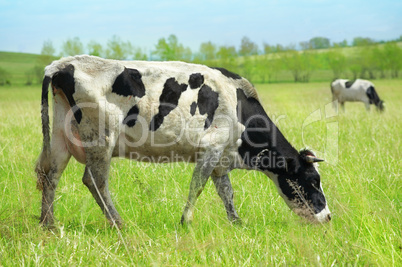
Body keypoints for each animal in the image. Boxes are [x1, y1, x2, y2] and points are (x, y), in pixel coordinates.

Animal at [34, 55, 332, 229]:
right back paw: (118, 223)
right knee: (95, 180)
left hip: (61, 136)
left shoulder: (221, 159)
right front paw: (186, 221)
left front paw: (236, 222)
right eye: (313, 180)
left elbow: (227, 192)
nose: (328, 217)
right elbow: (197, 187)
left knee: (50, 175)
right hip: (101, 137)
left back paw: (49, 224)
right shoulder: (211, 149)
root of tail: (61, 64)